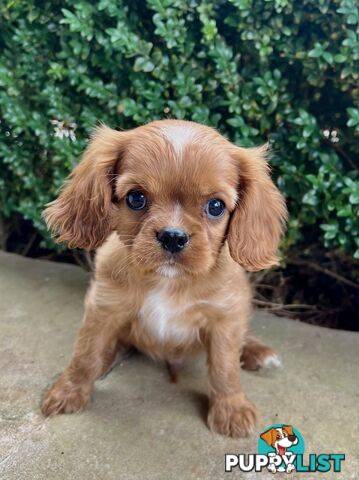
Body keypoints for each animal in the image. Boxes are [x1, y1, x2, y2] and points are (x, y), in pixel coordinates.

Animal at [42, 121, 288, 438]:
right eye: (136, 198)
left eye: (216, 206)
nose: (173, 236)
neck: (168, 281)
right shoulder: (104, 307)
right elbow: (86, 352)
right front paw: (68, 391)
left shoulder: (225, 317)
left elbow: (225, 367)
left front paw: (231, 409)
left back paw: (258, 352)